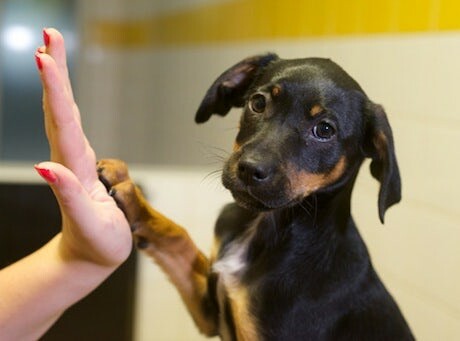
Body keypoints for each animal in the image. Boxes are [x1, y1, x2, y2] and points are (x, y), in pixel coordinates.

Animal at [99, 54, 416, 338]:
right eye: (258, 103)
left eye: (325, 130)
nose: (249, 169)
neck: (266, 225)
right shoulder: (210, 309)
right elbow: (178, 236)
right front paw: (132, 195)